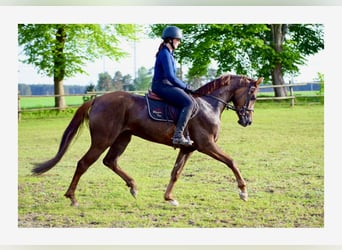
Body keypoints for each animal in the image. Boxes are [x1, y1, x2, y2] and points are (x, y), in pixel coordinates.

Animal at [32, 74, 262, 207]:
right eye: (253, 96)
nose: (247, 121)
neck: (208, 105)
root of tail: (97, 99)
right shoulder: (207, 145)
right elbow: (232, 161)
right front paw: (243, 191)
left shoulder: (188, 149)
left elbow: (175, 173)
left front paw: (169, 198)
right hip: (102, 140)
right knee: (83, 163)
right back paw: (72, 197)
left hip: (122, 139)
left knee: (110, 161)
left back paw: (133, 186)